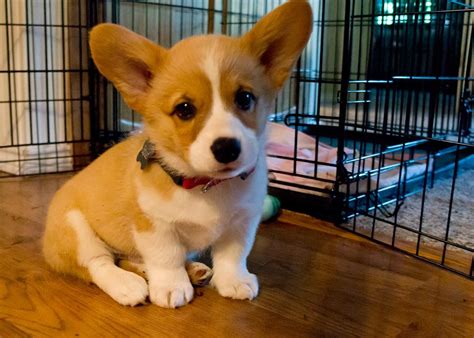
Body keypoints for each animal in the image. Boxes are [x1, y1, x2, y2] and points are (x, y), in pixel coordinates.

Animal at [42, 0, 312, 308]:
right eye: (184, 109)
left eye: (244, 98)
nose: (227, 147)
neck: (206, 186)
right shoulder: (153, 225)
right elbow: (166, 257)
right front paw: (172, 286)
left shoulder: (242, 222)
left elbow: (233, 254)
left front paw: (234, 281)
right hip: (75, 229)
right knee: (99, 263)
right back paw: (127, 284)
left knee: (127, 258)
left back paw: (190, 269)